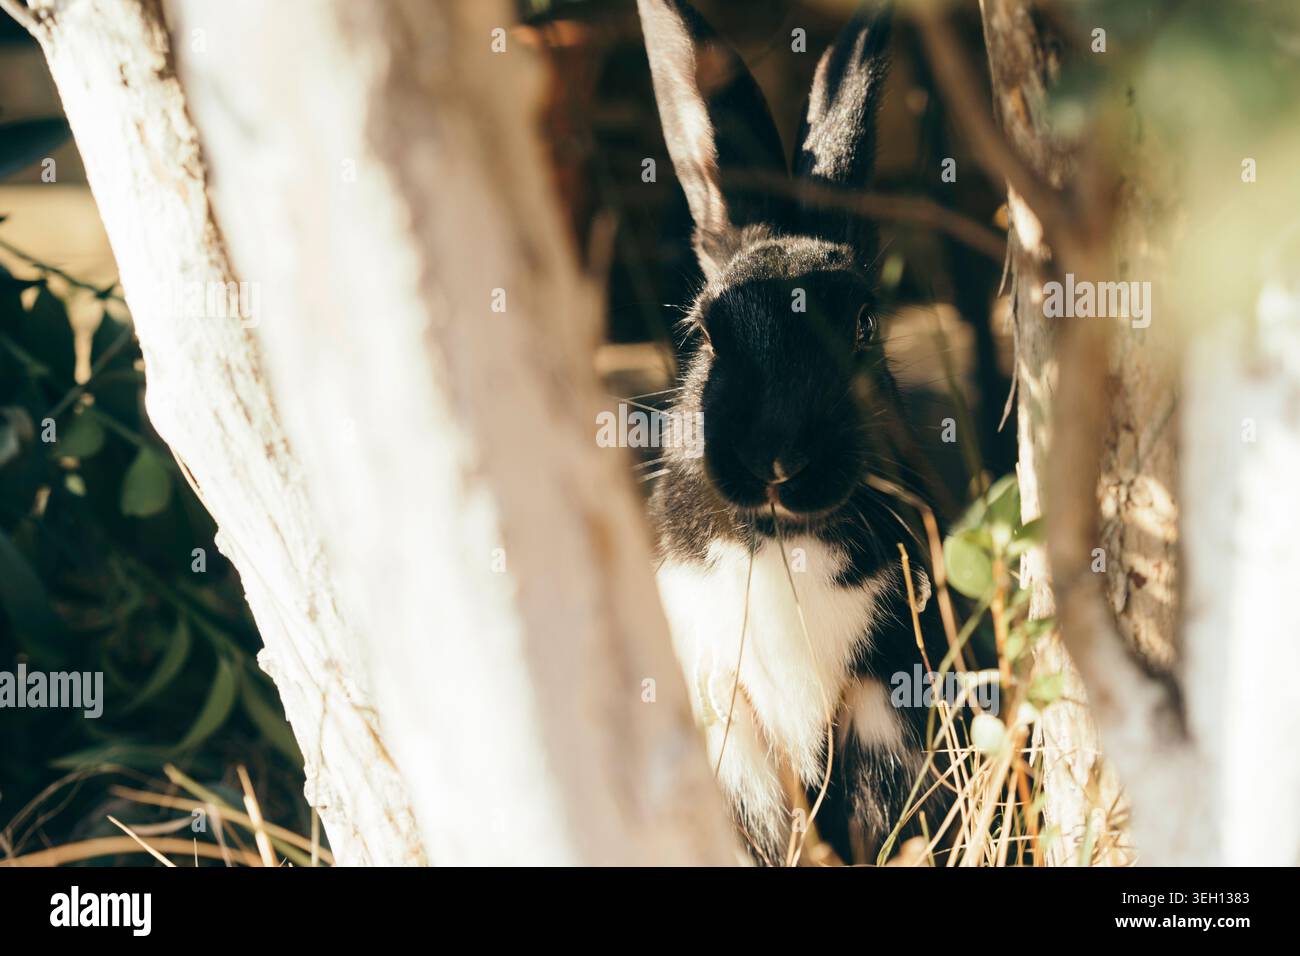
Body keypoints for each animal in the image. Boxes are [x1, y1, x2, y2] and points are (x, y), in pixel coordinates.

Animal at [638, 0, 954, 864]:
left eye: (866, 325)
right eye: (707, 334)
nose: (775, 458)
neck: (781, 537)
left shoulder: (883, 710)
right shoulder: (730, 727)